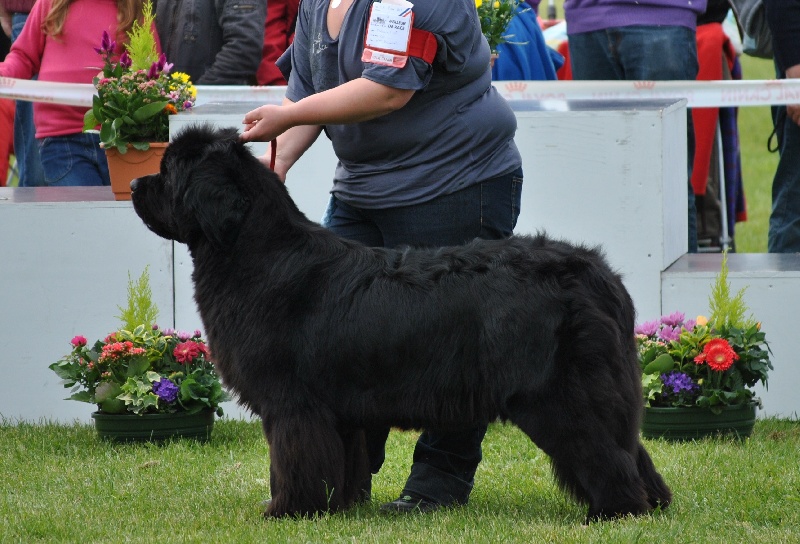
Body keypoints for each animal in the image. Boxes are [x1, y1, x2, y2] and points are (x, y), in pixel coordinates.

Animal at [130, 124, 668, 524]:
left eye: (168, 172)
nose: (134, 184)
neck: (254, 252)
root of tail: (596, 274)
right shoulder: (338, 410)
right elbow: (341, 462)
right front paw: (338, 508)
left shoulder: (293, 405)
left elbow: (292, 462)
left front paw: (286, 510)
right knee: (628, 446)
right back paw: (654, 503)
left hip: (557, 395)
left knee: (602, 451)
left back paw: (615, 512)